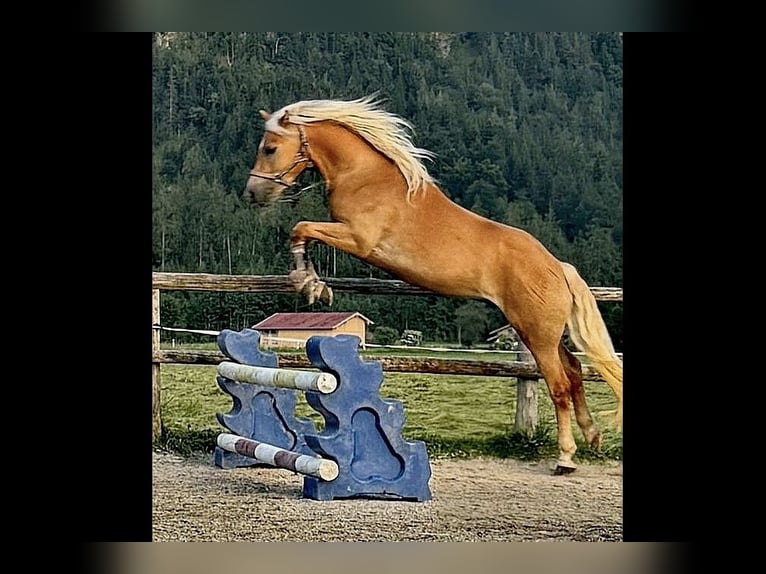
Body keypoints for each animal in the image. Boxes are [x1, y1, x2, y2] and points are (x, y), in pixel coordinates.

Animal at [241, 95, 622, 475]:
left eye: (270, 148)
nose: (253, 194)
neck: (366, 176)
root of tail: (558, 267)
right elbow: (303, 232)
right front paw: (313, 284)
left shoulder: (358, 239)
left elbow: (302, 228)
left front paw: (308, 283)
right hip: (542, 332)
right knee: (575, 371)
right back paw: (593, 436)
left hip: (537, 333)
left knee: (559, 385)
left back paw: (565, 457)